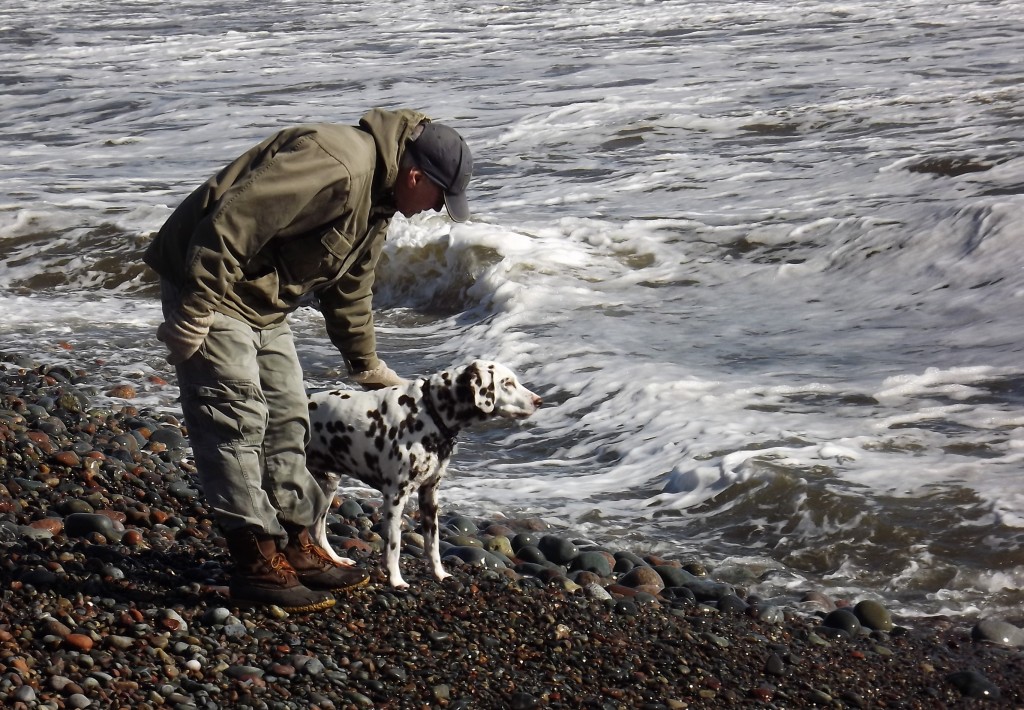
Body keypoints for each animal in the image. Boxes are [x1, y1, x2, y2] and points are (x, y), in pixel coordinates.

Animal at [303, 360, 544, 586]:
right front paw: (396, 580)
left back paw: (336, 559)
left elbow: (433, 544)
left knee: (317, 530)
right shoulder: (395, 498)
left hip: (328, 486)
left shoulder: (429, 495)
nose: (539, 401)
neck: (428, 413)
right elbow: (394, 546)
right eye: (507, 383)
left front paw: (439, 574)